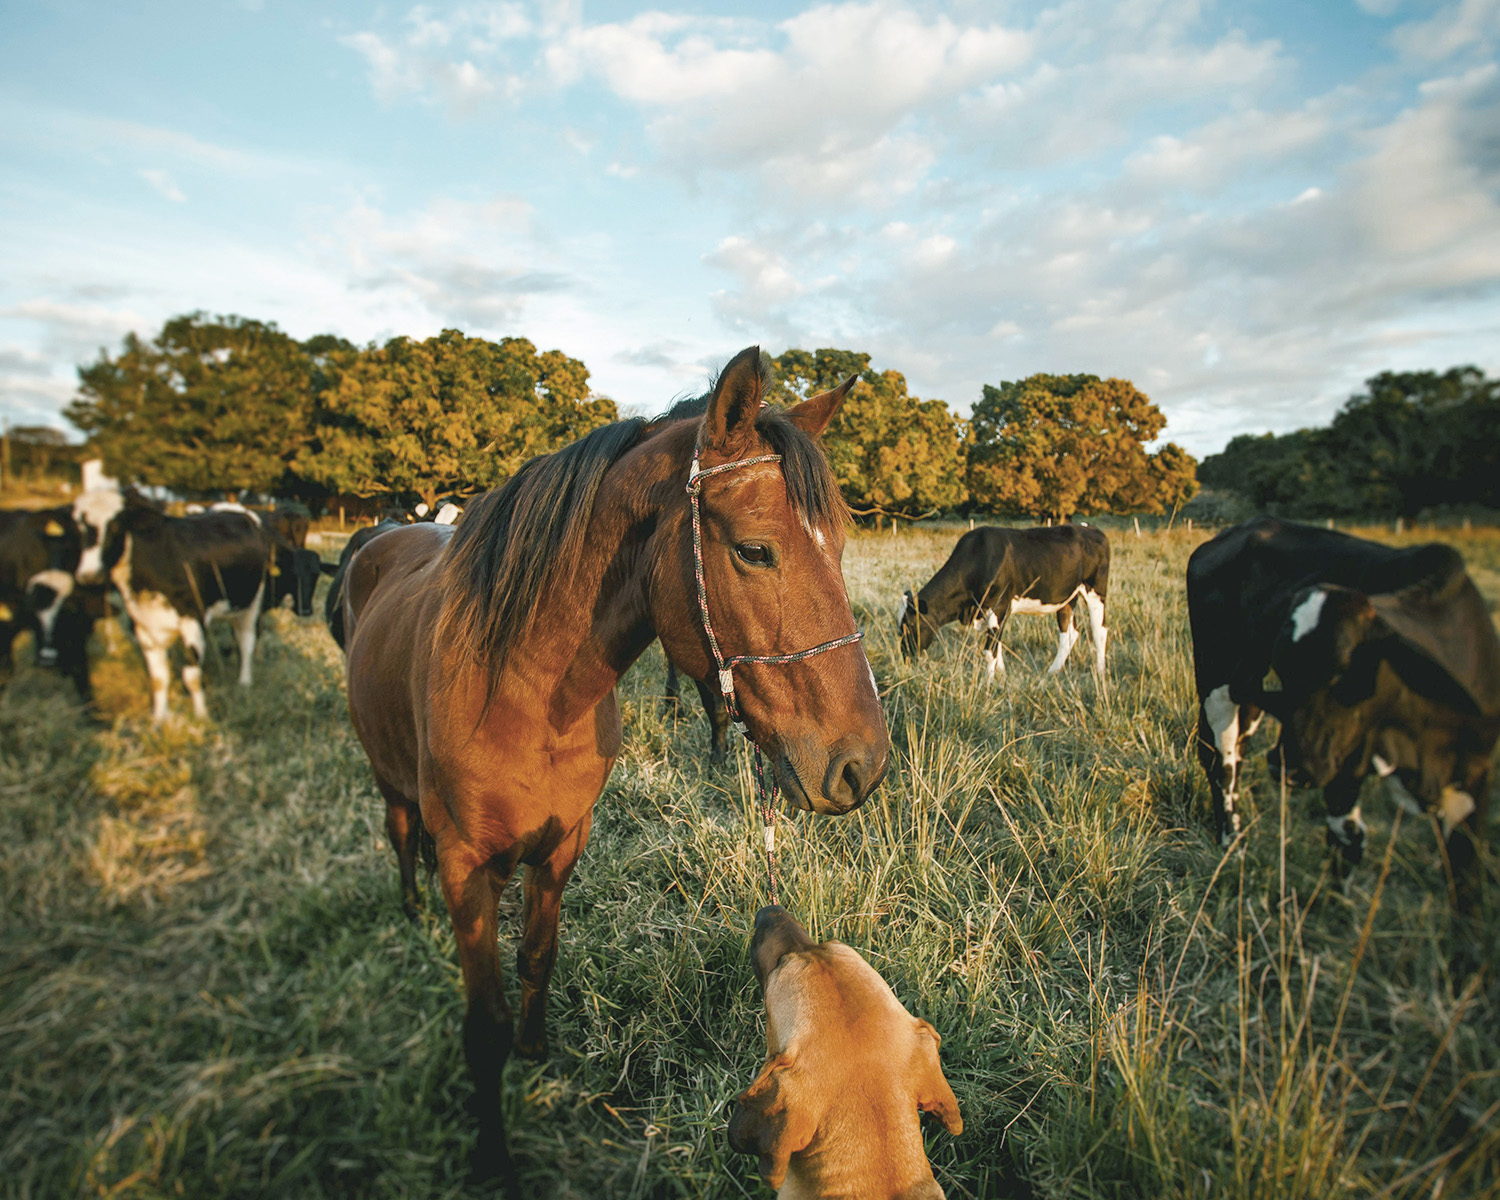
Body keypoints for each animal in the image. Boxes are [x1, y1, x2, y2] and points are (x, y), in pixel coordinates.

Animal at [75, 494, 272, 722]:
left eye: (116, 525)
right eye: (79, 526)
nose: (88, 575)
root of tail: (233, 508)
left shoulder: (193, 619)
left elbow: (191, 676)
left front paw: (201, 717)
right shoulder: (143, 626)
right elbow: (158, 678)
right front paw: (159, 719)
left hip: (253, 603)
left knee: (246, 641)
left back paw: (244, 683)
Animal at [340, 346, 890, 1185]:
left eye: (839, 548)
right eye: (753, 550)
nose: (863, 764)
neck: (524, 687)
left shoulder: (563, 844)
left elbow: (538, 958)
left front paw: (536, 1054)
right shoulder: (468, 864)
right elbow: (482, 1025)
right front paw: (496, 1158)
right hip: (389, 774)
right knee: (399, 830)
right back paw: (409, 910)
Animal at [898, 524, 1110, 680]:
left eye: (910, 625)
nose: (905, 658)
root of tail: (1090, 528)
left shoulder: (998, 606)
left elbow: (989, 651)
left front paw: (987, 683)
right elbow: (997, 646)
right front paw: (1001, 675)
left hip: (1096, 591)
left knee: (1099, 631)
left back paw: (1100, 672)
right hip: (1067, 598)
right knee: (1069, 633)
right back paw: (1053, 671)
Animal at [1186, 517, 1500, 912]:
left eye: (1347, 676)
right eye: (1285, 671)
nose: (1291, 766)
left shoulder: (1475, 776)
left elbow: (1466, 879)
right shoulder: (1344, 758)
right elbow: (1348, 839)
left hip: (1248, 695)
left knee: (1237, 753)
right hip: (1219, 679)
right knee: (1221, 764)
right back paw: (1233, 846)